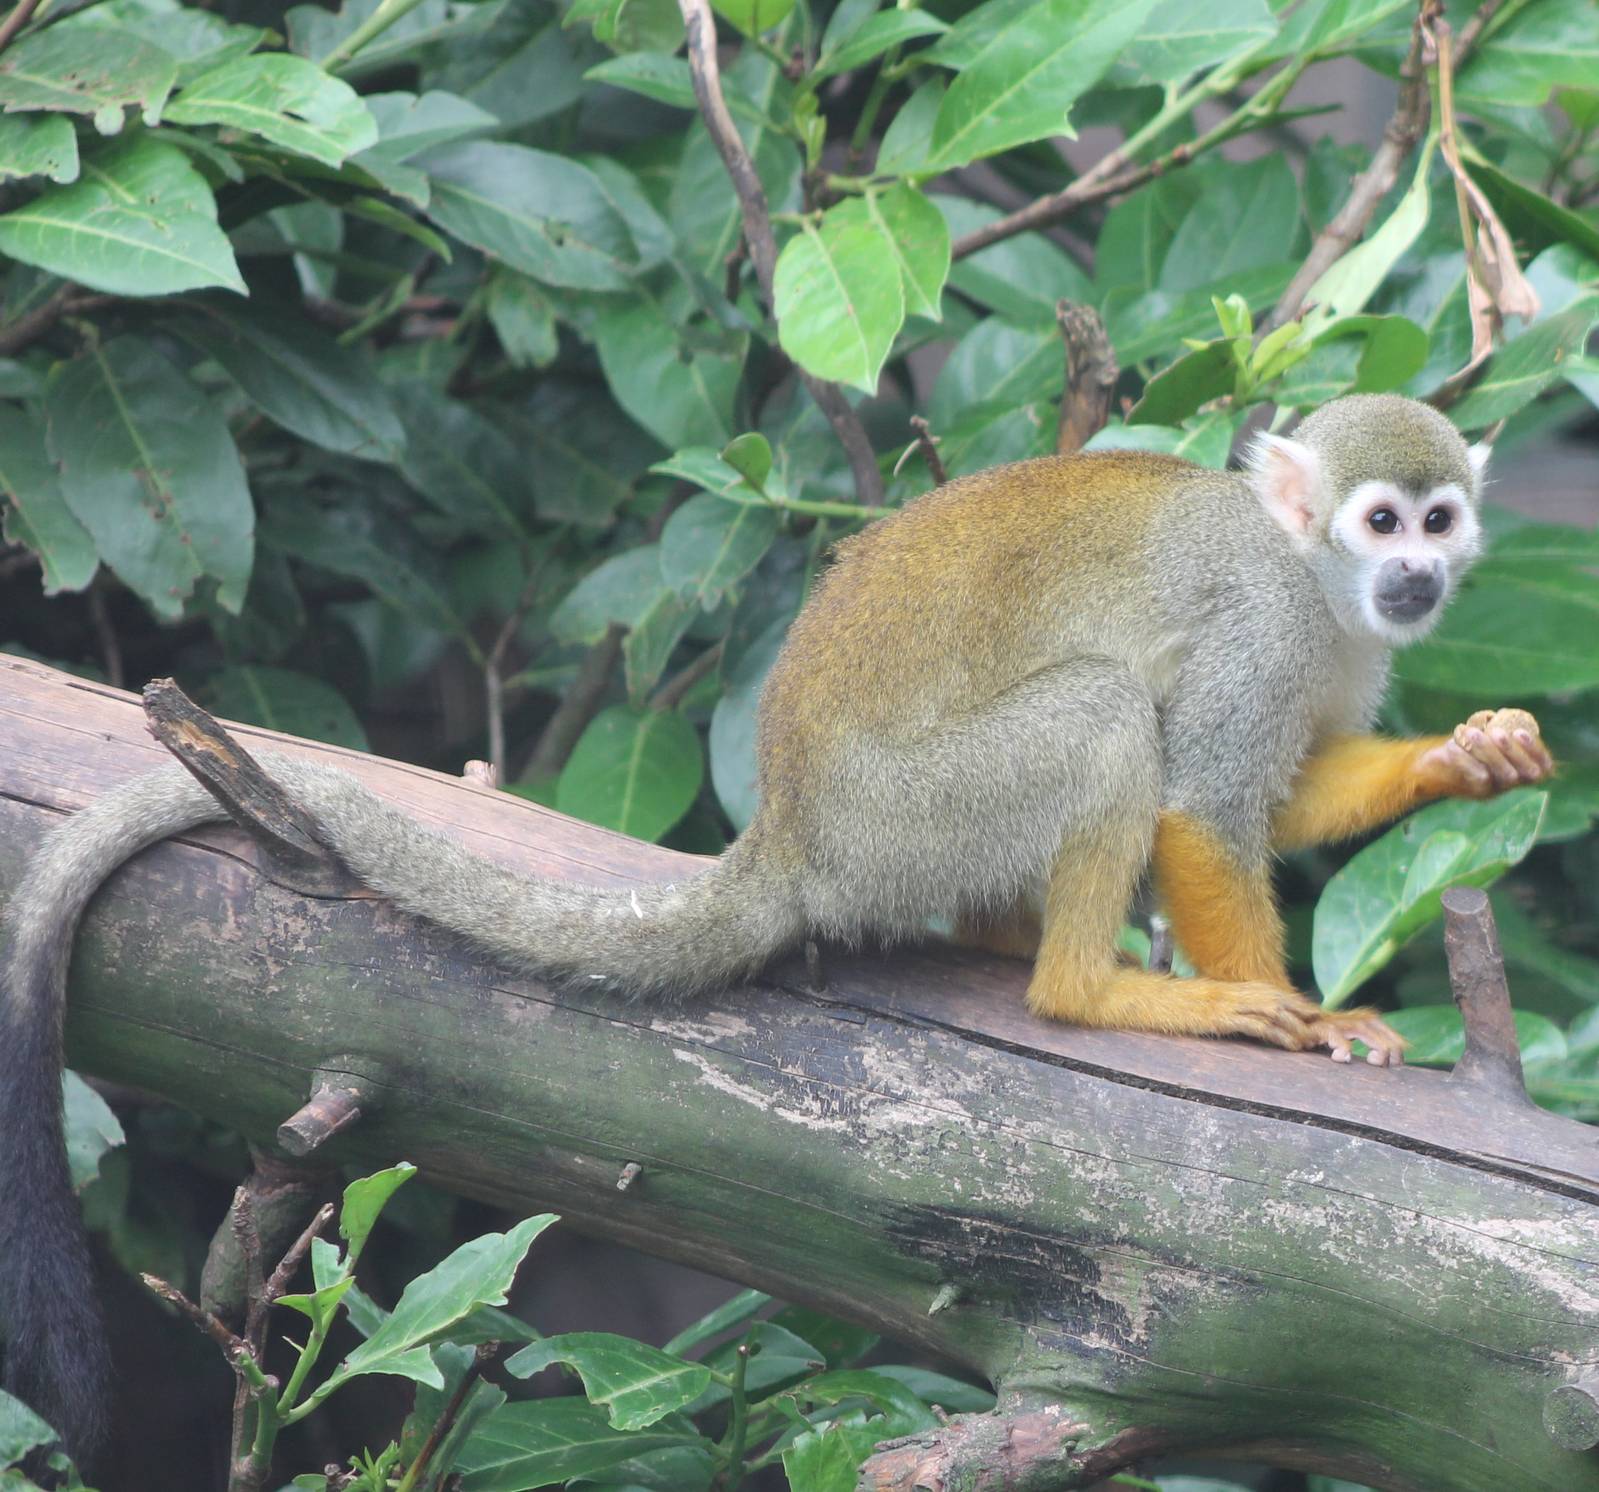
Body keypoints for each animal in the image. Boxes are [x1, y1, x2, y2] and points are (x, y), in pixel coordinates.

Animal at [0, 393, 1555, 1461]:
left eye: (1437, 523)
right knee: (1108, 713)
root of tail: (797, 827)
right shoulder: (1262, 631)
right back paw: (1079, 988)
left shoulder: (1337, 650)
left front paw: (1464, 757)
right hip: (916, 811)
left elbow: (1283, 795)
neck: (1314, 582)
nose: (1417, 577)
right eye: (1377, 521)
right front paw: (1301, 1019)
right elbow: (1208, 802)